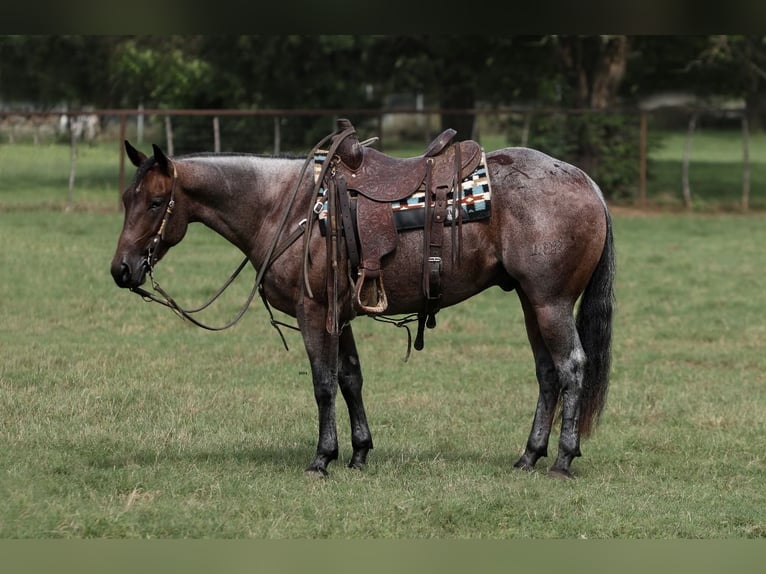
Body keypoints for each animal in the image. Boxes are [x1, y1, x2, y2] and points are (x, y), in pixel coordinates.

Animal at [111, 121, 616, 482]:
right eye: (126, 199)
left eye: (155, 202)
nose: (121, 270)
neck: (284, 208)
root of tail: (586, 182)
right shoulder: (341, 316)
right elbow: (351, 379)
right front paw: (358, 452)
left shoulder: (314, 313)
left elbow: (323, 384)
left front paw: (322, 457)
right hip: (532, 303)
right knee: (548, 373)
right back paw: (529, 456)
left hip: (550, 302)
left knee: (571, 367)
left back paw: (562, 460)